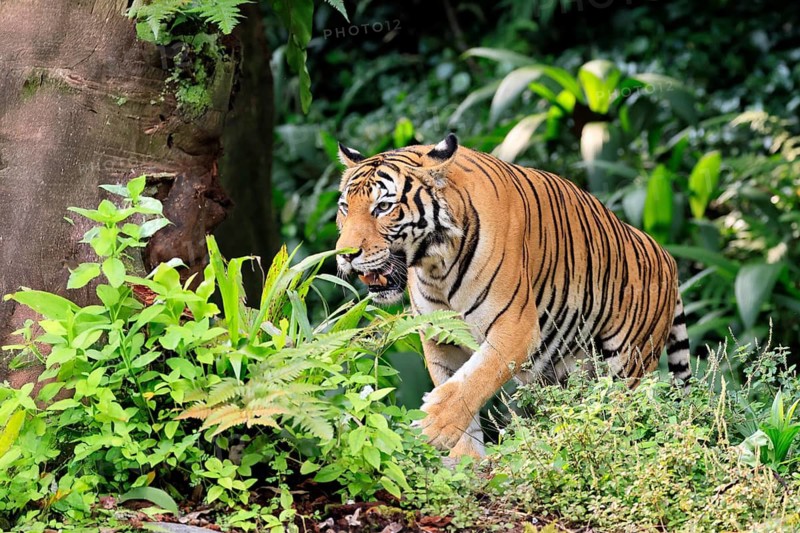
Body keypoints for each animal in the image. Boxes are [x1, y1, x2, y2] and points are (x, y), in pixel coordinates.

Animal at [334, 134, 692, 459]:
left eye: (383, 207)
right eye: (344, 208)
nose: (345, 255)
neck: (435, 265)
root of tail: (668, 258)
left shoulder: (516, 327)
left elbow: (475, 379)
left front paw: (433, 426)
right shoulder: (440, 336)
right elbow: (456, 387)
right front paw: (467, 465)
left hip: (626, 365)